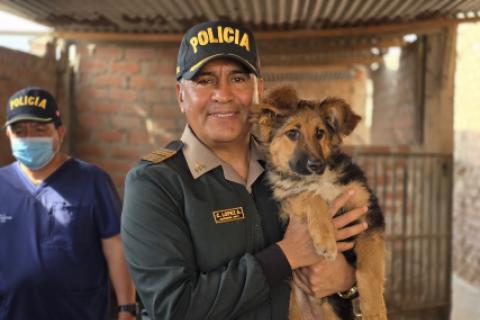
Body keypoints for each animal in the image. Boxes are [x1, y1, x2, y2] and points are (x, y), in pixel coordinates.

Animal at [251, 86, 386, 318]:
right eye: (292, 133)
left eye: (319, 133)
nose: (316, 165)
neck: (318, 179)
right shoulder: (285, 204)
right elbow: (309, 195)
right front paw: (325, 238)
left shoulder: (369, 218)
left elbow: (370, 271)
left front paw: (375, 311)